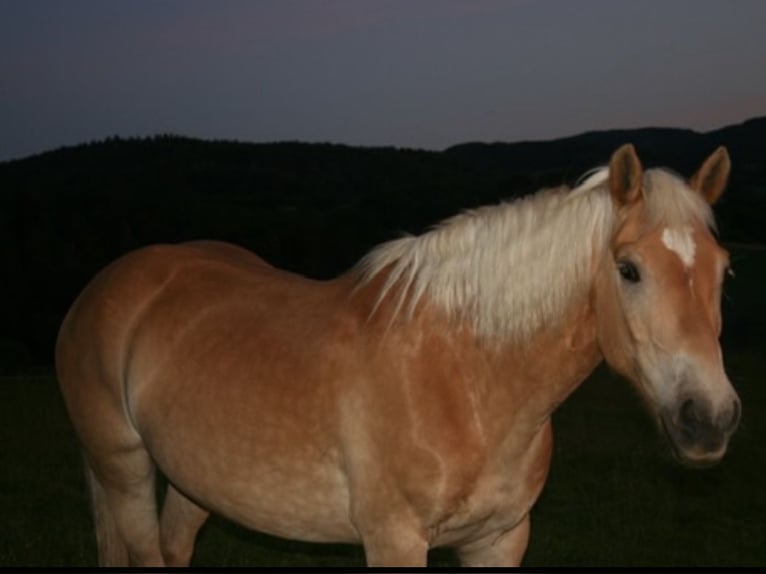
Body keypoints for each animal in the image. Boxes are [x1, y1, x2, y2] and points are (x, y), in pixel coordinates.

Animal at [55, 144, 744, 568]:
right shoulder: (395, 541)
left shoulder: (500, 539)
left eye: (724, 270)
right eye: (628, 270)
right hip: (123, 471)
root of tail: (104, 286)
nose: (709, 419)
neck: (465, 377)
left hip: (193, 479)